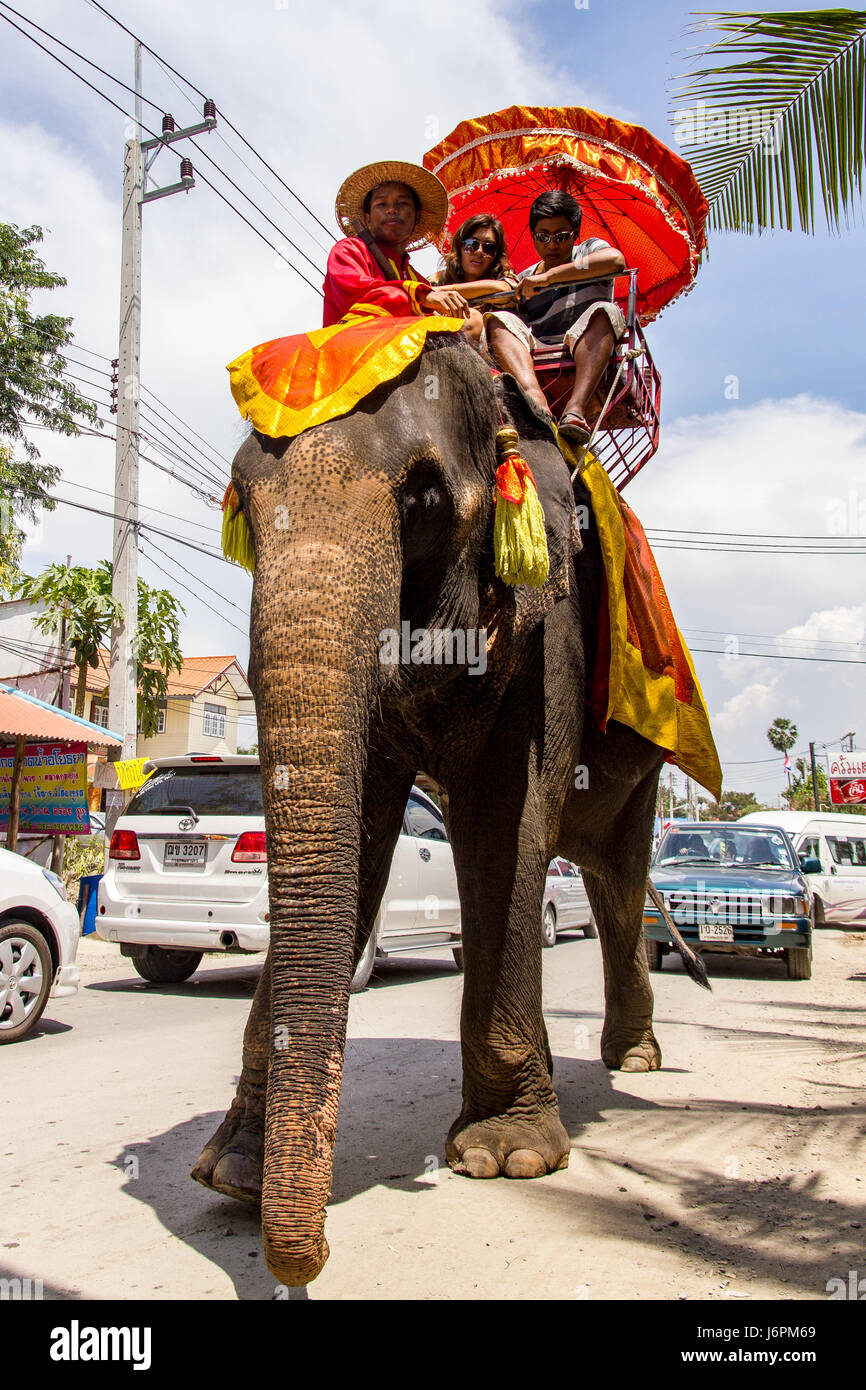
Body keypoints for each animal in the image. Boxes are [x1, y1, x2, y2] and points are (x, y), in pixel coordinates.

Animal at [193, 330, 667, 1284]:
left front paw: (505, 1157)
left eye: (422, 498)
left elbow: (502, 820)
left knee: (618, 871)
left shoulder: (549, 628)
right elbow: (364, 826)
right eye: (245, 507)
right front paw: (233, 1175)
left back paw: (632, 1059)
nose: (307, 1261)